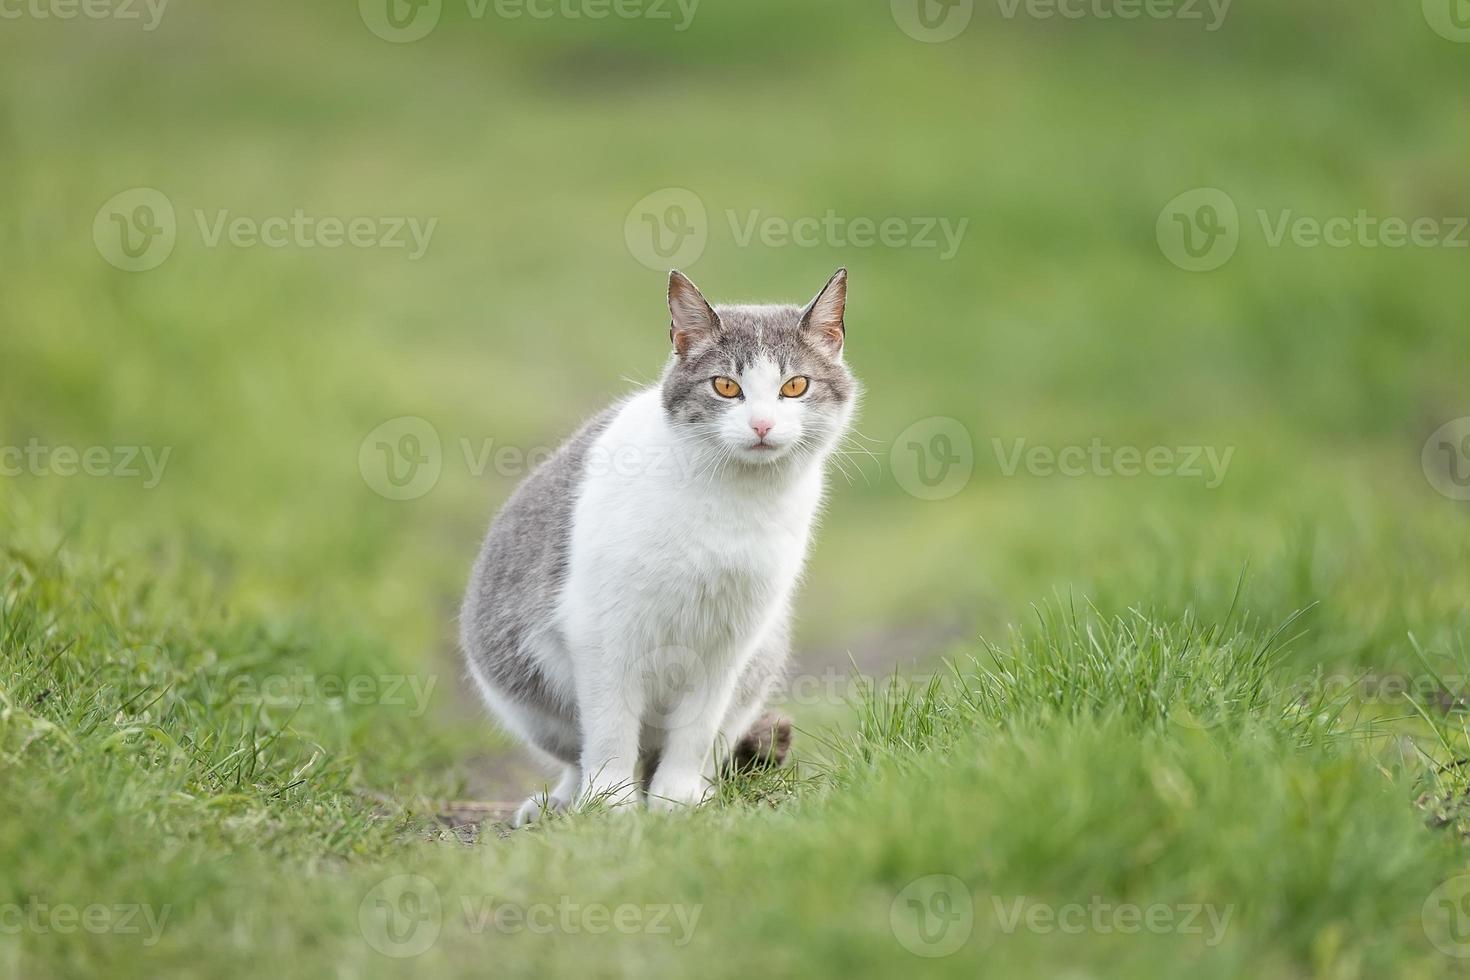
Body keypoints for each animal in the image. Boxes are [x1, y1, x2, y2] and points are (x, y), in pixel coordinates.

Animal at [452, 268, 858, 828]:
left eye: (795, 386)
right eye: (725, 386)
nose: (761, 425)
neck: (733, 504)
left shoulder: (730, 641)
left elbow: (695, 731)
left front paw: (677, 799)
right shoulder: (603, 630)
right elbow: (610, 728)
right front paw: (611, 802)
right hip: (526, 695)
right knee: (578, 754)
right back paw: (563, 802)